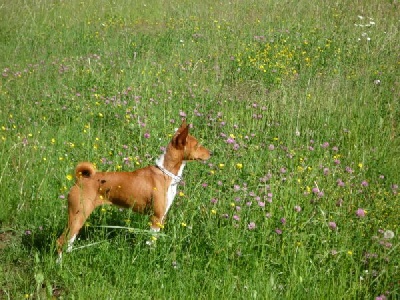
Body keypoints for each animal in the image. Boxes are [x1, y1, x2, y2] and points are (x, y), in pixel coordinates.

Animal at [58, 120, 212, 258]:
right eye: (197, 145)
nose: (212, 153)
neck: (165, 173)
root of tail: (80, 180)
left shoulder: (162, 217)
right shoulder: (156, 217)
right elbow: (152, 242)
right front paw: (152, 258)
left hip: (78, 217)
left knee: (70, 241)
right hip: (78, 215)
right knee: (61, 241)